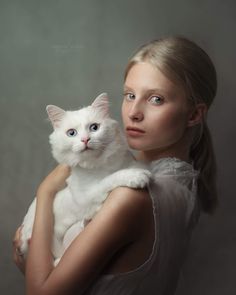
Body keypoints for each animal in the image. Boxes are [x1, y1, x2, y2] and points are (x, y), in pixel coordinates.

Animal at [19, 93, 150, 266]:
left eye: (94, 127)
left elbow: (130, 166)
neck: (100, 165)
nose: (85, 140)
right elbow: (111, 178)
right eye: (71, 133)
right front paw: (137, 176)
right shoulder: (86, 196)